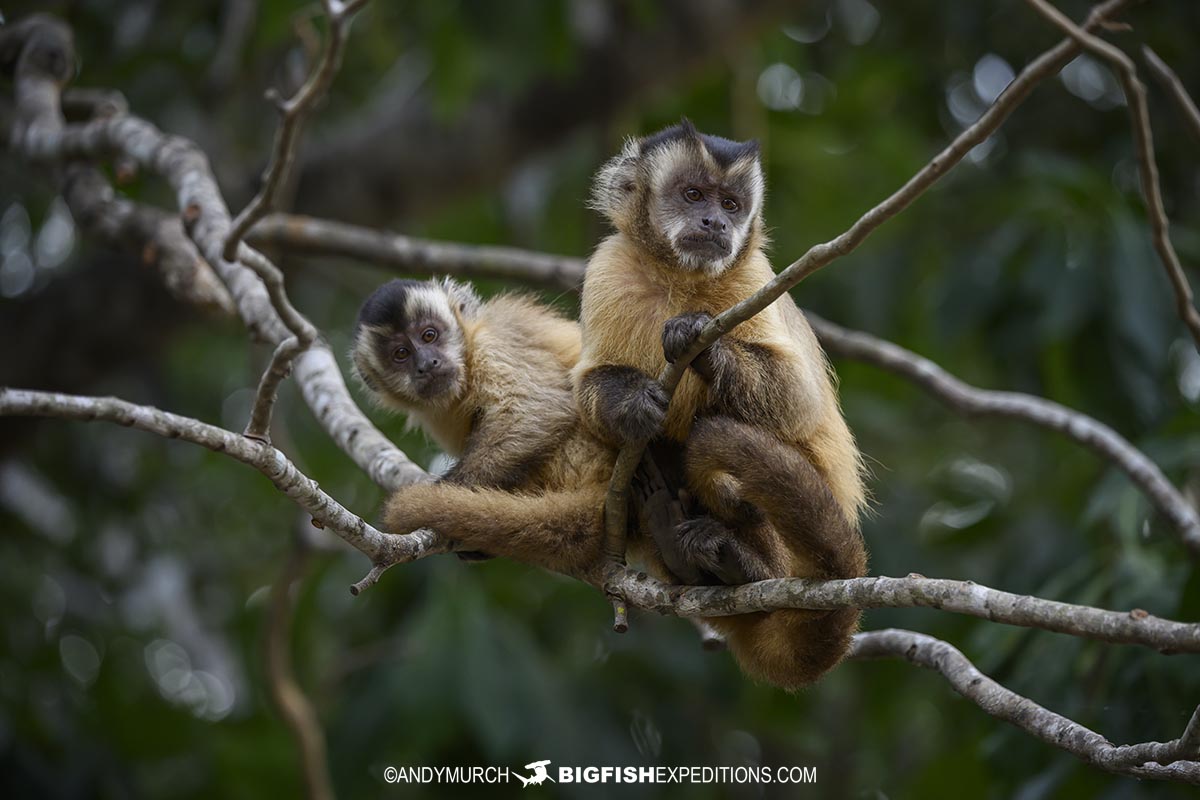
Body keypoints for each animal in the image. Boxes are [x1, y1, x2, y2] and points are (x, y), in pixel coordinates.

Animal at [574, 119, 870, 690]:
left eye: (731, 204)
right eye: (693, 195)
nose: (715, 221)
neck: (679, 276)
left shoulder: (754, 278)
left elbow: (799, 402)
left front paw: (701, 344)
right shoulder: (608, 268)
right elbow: (587, 390)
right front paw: (630, 405)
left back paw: (743, 565)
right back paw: (670, 533)